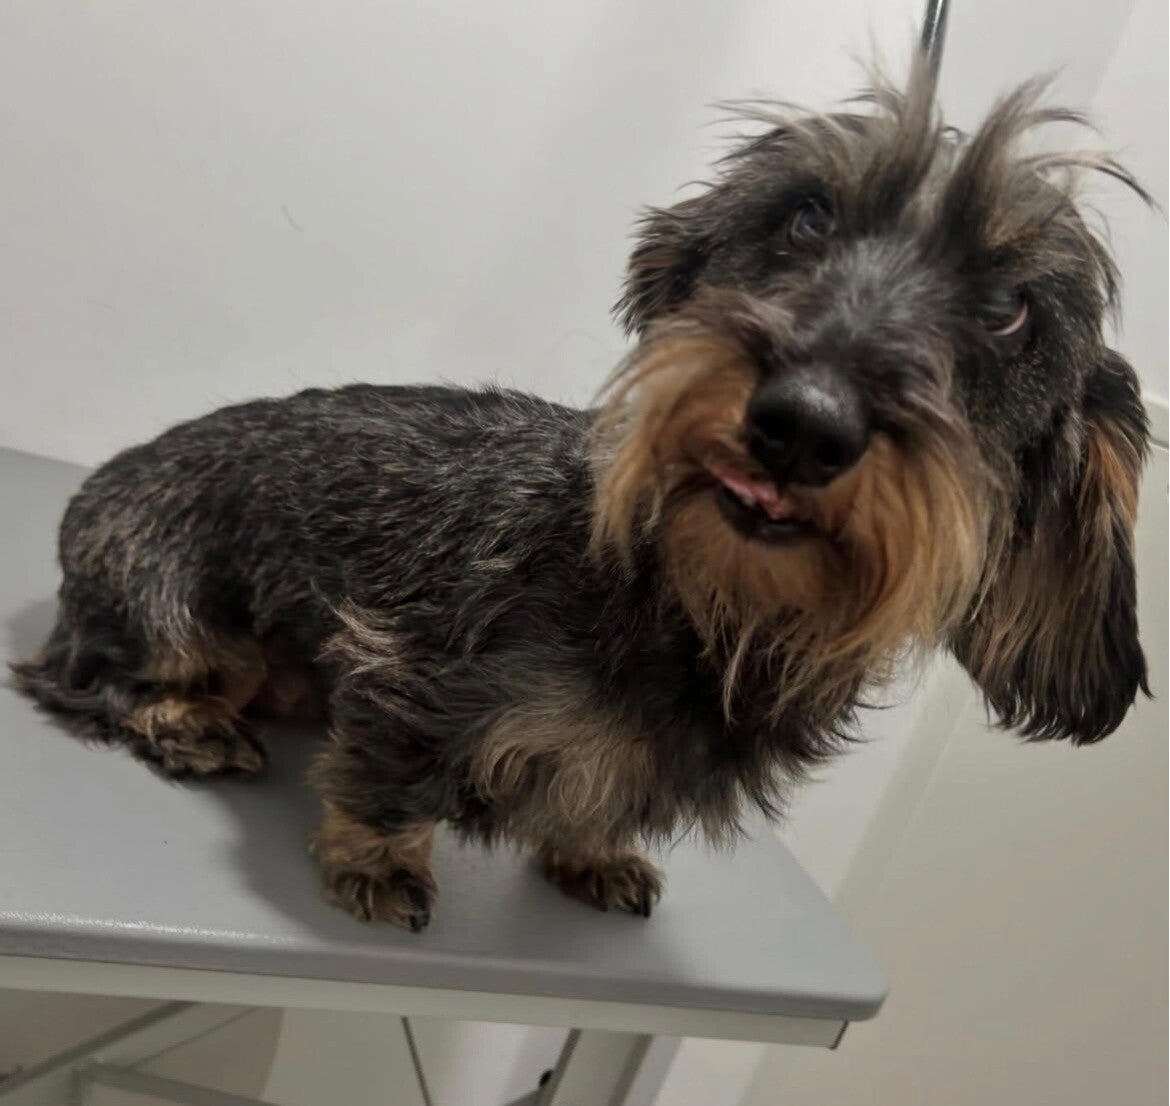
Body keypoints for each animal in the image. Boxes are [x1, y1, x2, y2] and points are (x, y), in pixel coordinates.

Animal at [12, 58, 1150, 931]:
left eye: (1010, 309)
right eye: (806, 216)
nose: (802, 421)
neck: (703, 602)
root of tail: (101, 483)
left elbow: (592, 808)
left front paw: (589, 851)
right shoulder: (406, 670)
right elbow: (387, 772)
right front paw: (378, 859)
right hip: (175, 612)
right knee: (93, 677)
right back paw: (186, 721)